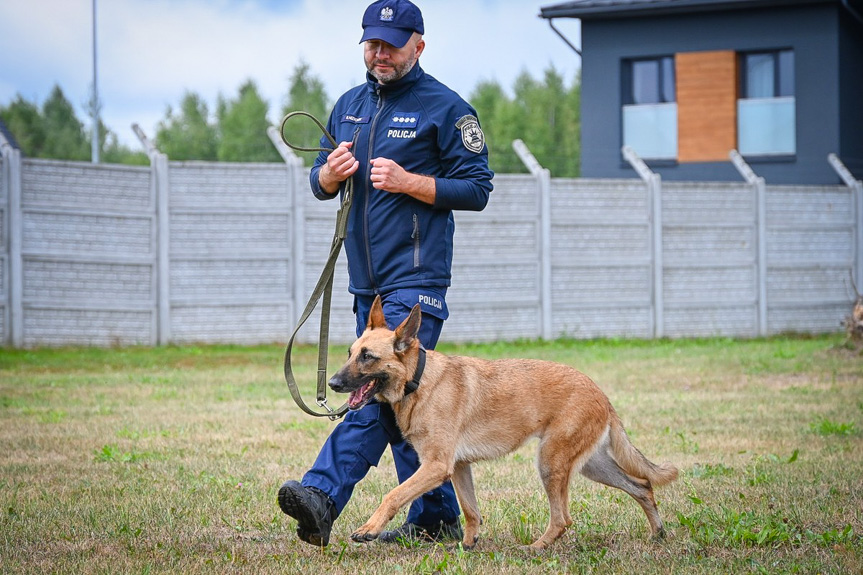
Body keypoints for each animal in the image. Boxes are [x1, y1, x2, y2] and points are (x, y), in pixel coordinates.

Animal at [328, 296, 680, 548]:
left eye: (367, 357)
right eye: (350, 353)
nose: (332, 383)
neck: (419, 380)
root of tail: (601, 394)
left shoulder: (436, 466)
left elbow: (393, 495)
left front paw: (370, 528)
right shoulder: (458, 467)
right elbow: (471, 510)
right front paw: (468, 545)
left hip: (550, 463)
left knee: (563, 518)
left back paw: (536, 548)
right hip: (590, 465)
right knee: (642, 486)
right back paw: (657, 534)